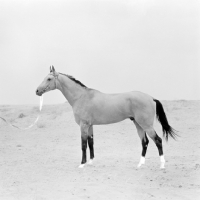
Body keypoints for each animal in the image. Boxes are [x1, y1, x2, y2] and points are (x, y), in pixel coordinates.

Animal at [35, 66, 177, 169]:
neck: (81, 97)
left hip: (146, 125)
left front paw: (82, 164)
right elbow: (91, 142)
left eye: (49, 79)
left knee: (158, 140)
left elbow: (83, 144)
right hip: (138, 124)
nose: (37, 91)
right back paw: (140, 164)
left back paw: (162, 165)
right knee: (145, 142)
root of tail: (151, 98)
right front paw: (91, 162)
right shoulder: (90, 125)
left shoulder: (83, 125)